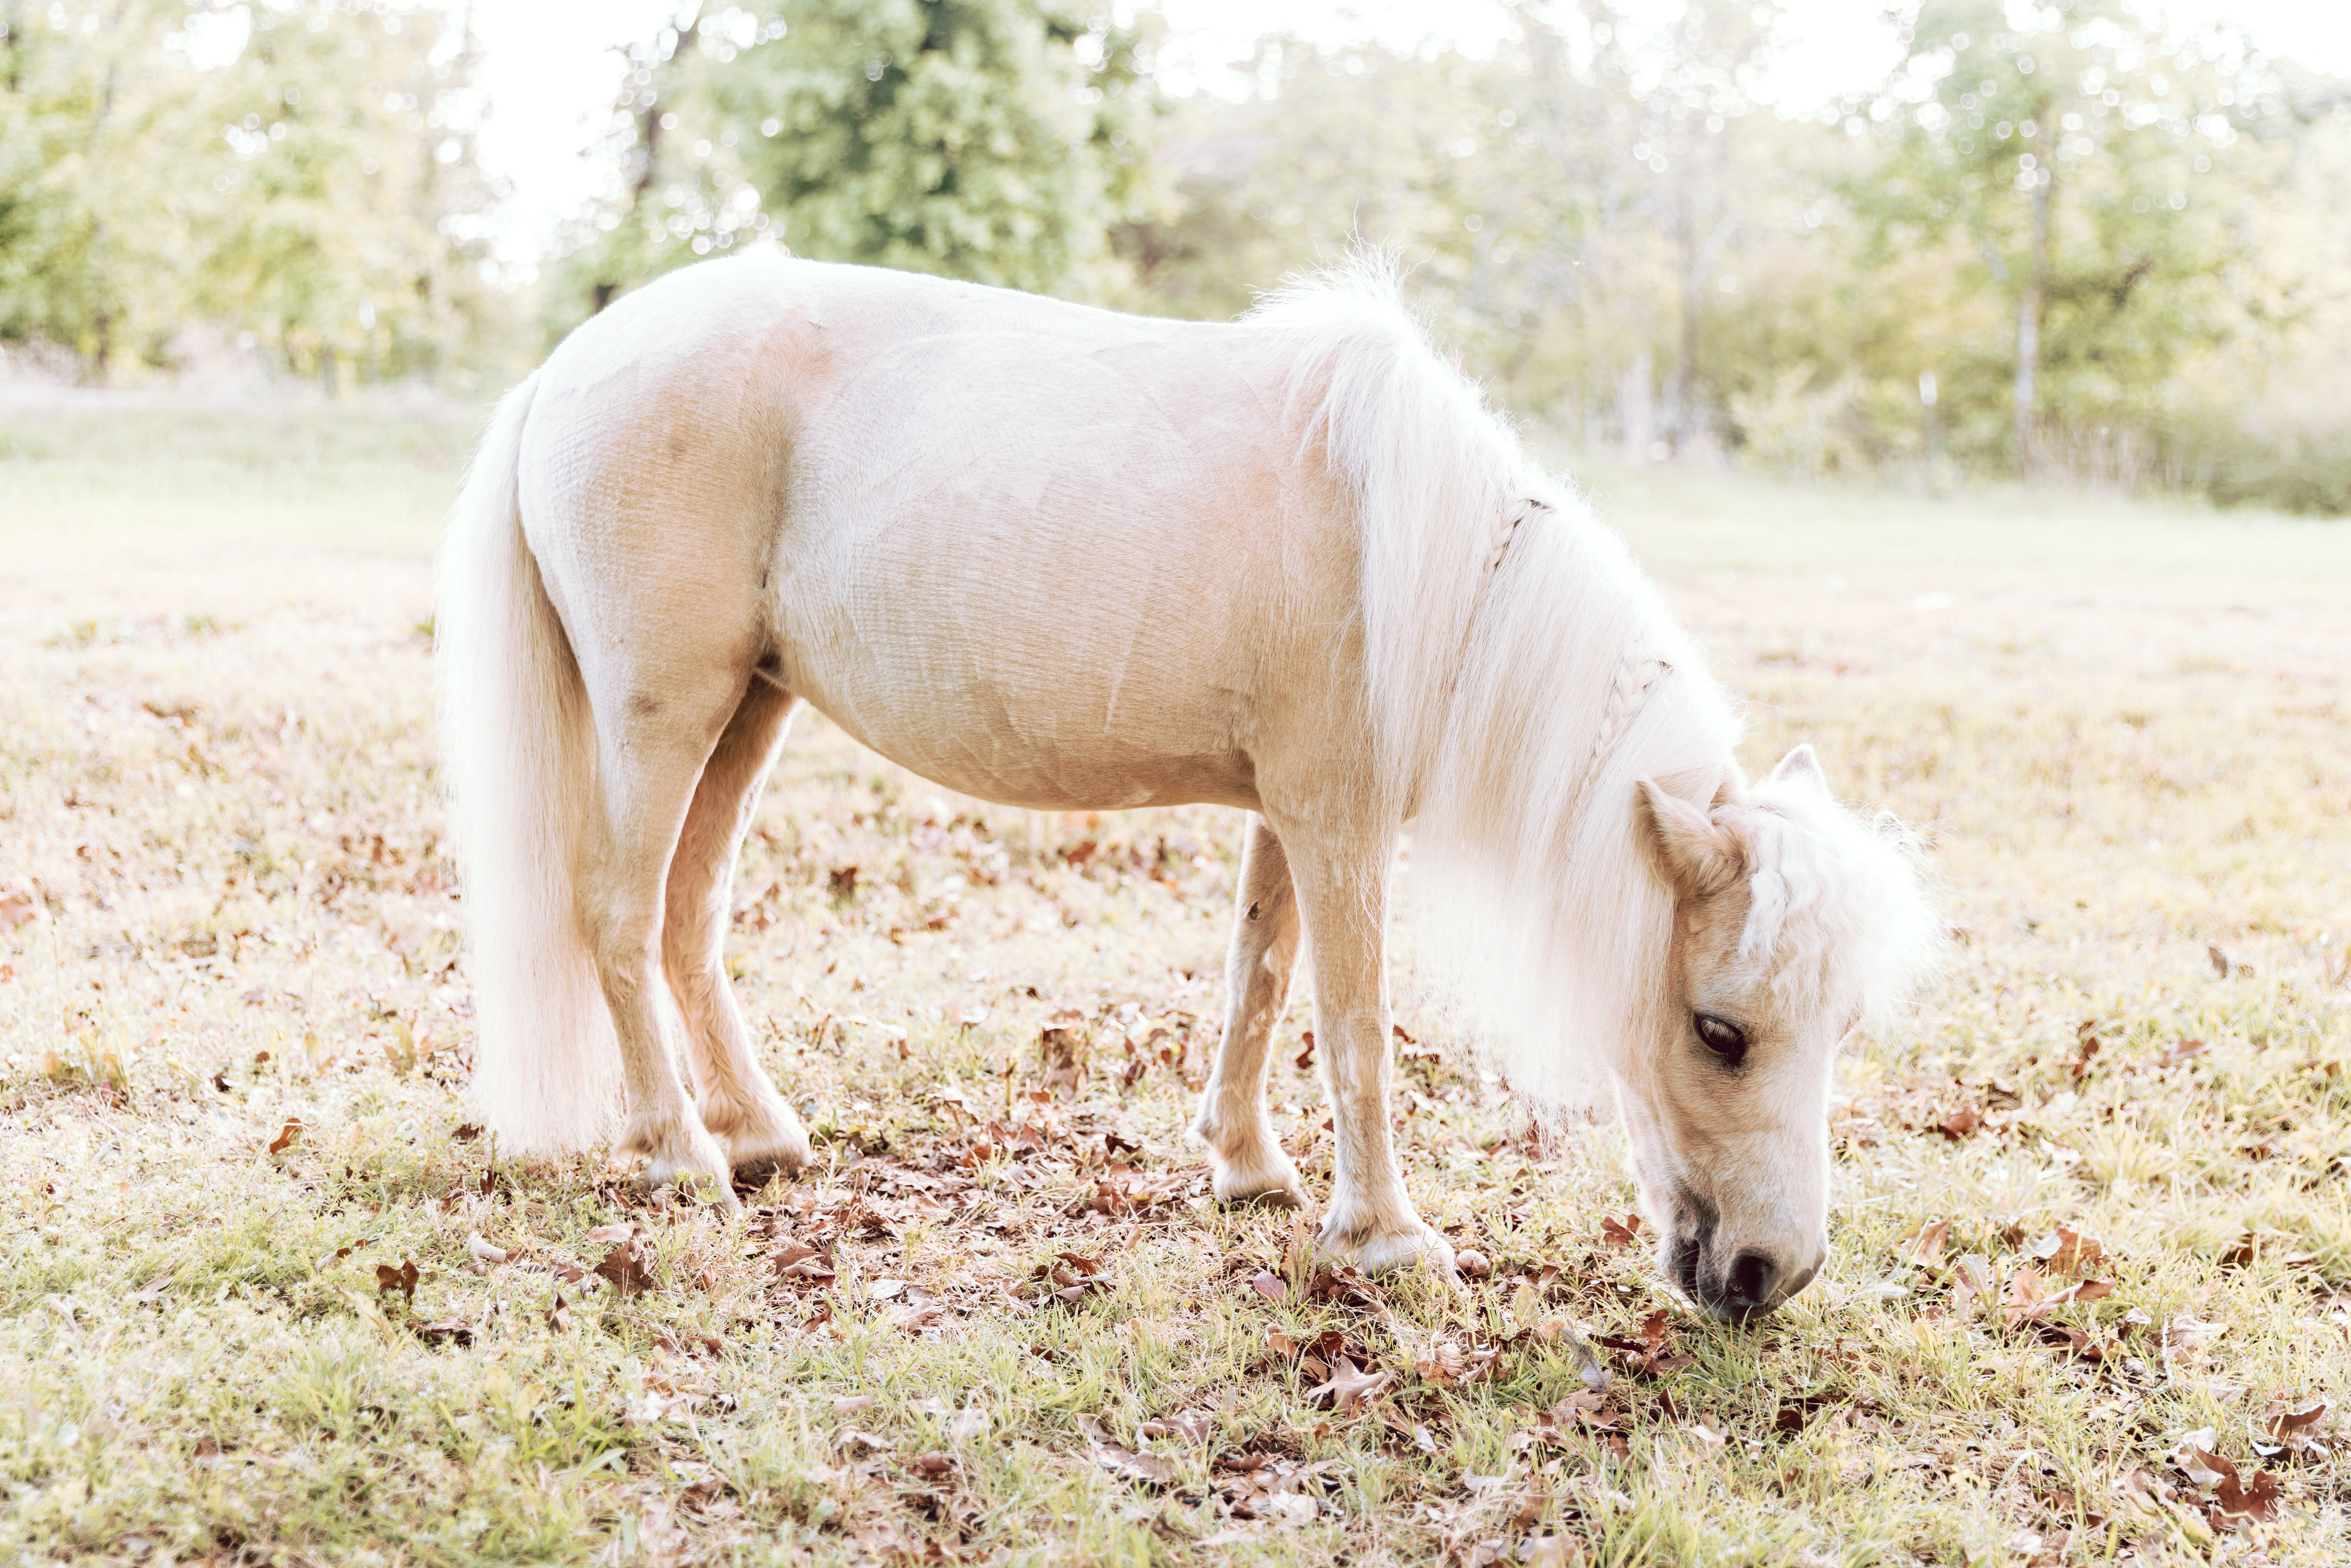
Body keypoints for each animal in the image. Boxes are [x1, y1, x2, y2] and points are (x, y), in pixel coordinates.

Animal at [436, 247, 1939, 1320]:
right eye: (1718, 1031)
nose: (1772, 1276)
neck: (1424, 569)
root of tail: (566, 369)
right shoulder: (1337, 827)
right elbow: (1352, 1023)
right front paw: (1386, 1239)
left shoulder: (1289, 815)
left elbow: (1257, 982)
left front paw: (1249, 1170)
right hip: (663, 718)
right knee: (619, 914)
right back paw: (678, 1151)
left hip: (747, 710)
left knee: (687, 918)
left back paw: (758, 1134)